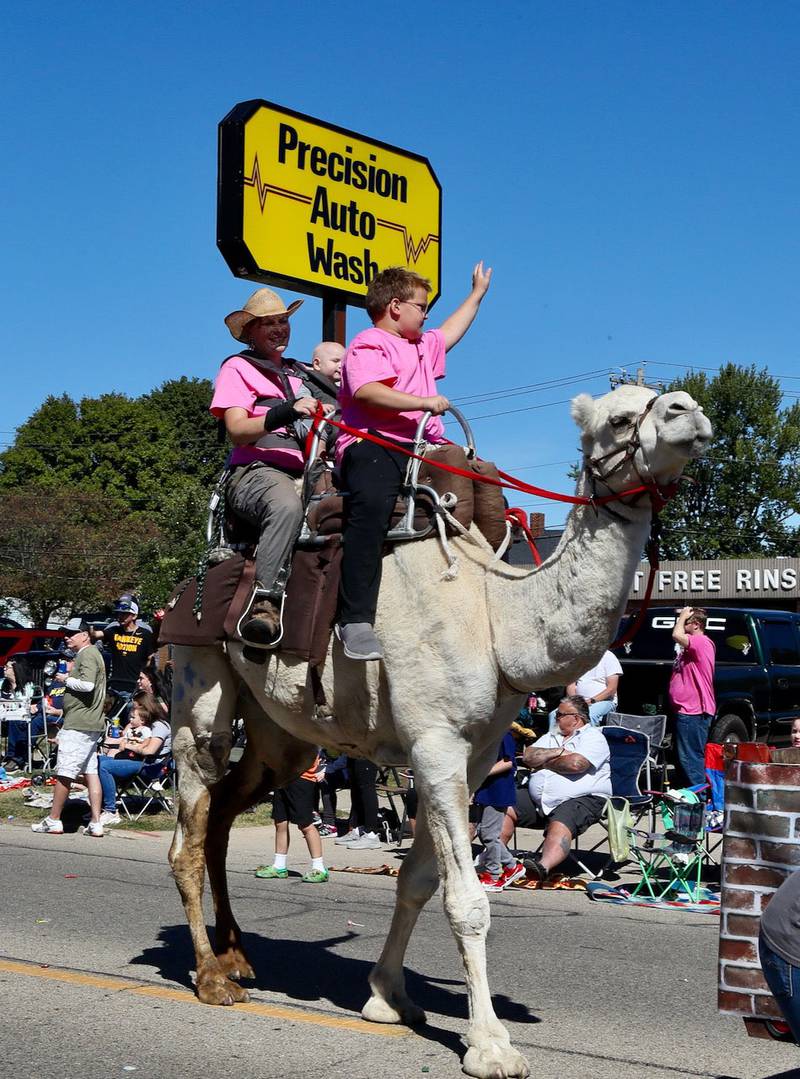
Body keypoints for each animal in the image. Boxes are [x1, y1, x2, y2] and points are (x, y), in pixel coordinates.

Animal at [165, 386, 708, 1079]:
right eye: (618, 417)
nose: (688, 411)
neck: (497, 617)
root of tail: (191, 582)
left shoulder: (471, 757)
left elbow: (419, 881)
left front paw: (387, 998)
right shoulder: (435, 743)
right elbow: (465, 901)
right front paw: (491, 1045)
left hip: (280, 738)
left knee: (224, 815)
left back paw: (237, 957)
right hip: (198, 685)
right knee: (190, 821)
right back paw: (211, 978)